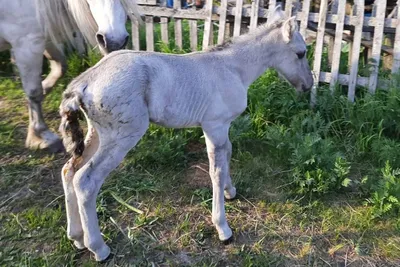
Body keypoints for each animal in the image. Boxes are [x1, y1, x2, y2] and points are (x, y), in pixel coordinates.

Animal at [0, 0, 141, 153]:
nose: (115, 42)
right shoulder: (28, 44)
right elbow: (34, 92)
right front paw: (42, 135)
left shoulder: (46, 39)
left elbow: (59, 68)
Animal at [57, 5, 314, 262]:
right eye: (301, 53)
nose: (308, 85)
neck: (233, 68)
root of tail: (84, 82)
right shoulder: (214, 125)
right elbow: (216, 171)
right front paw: (223, 228)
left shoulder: (222, 127)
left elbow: (228, 155)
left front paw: (230, 191)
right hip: (123, 136)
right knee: (85, 181)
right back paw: (98, 248)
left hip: (98, 133)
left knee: (69, 170)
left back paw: (76, 237)